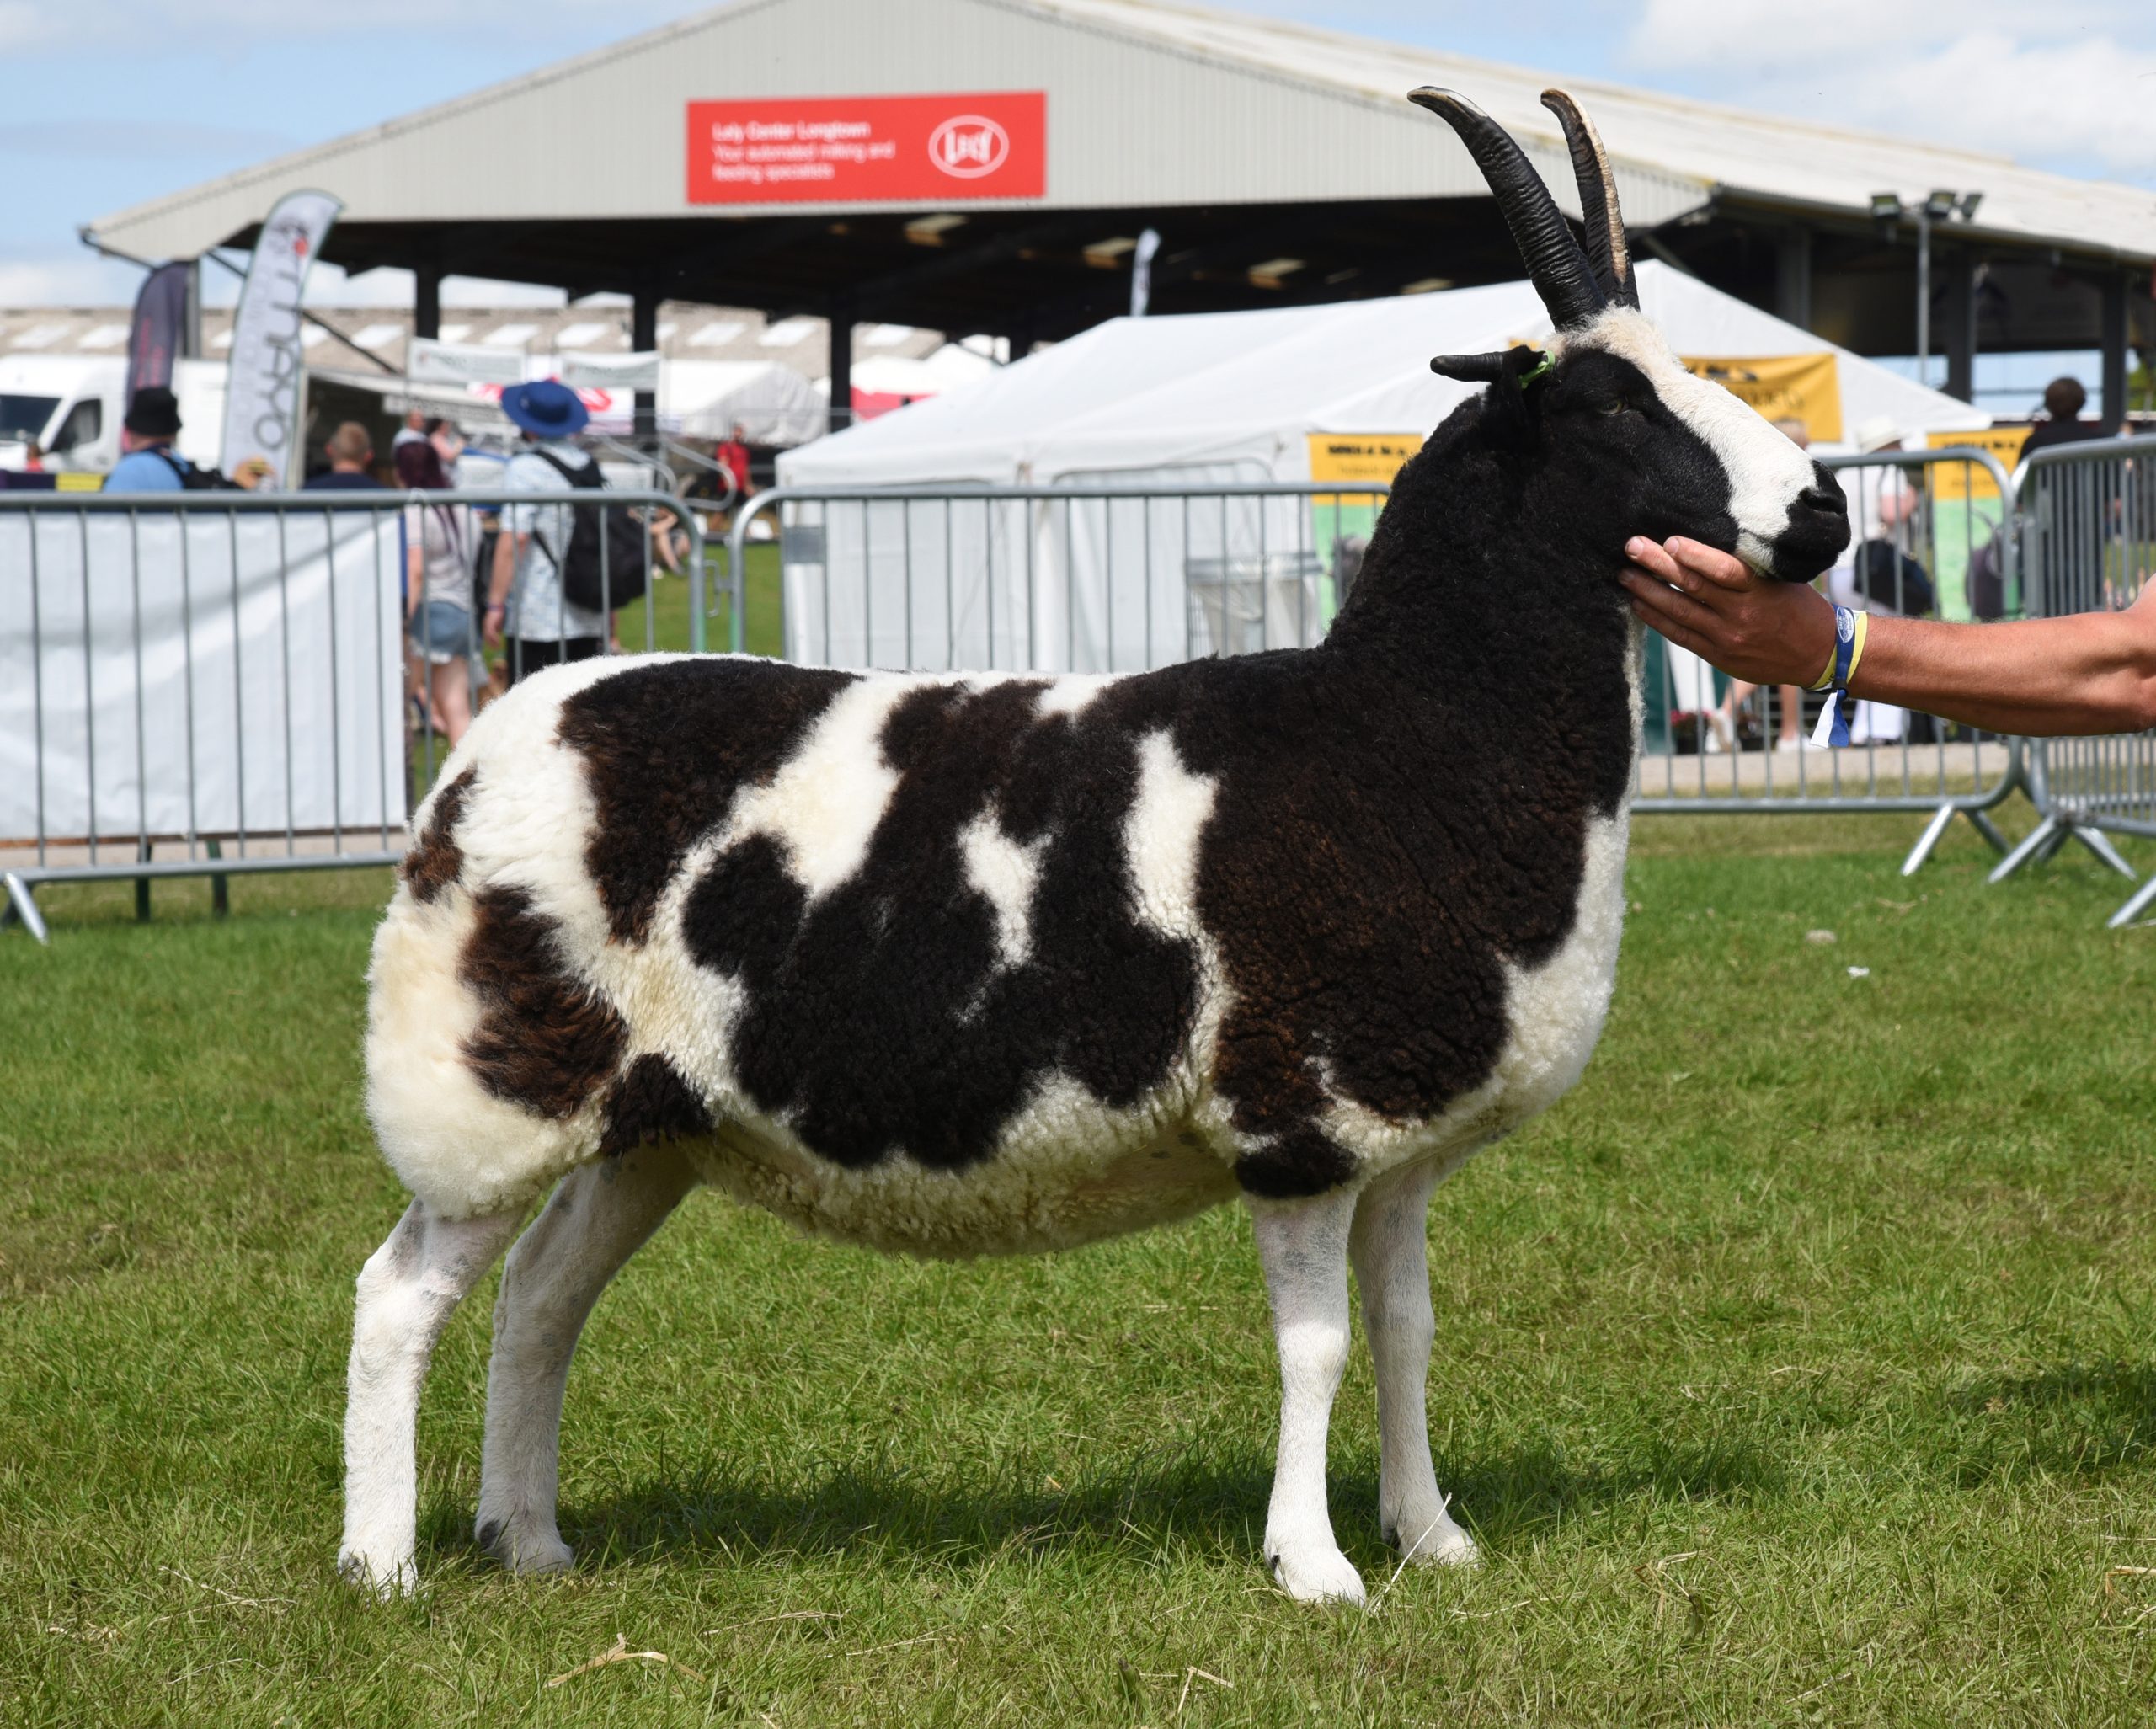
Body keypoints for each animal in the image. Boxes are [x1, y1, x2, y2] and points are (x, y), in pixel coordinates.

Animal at [340, 91, 1854, 1604]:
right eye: (1611, 402)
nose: (1826, 512)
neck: (1408, 724)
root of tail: (488, 744)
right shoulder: (1297, 1114)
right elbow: (1319, 1348)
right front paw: (1315, 1563)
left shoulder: (1397, 1141)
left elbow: (1409, 1328)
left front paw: (1432, 1535)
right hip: (487, 1085)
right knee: (399, 1296)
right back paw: (384, 1565)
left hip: (650, 1120)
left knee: (540, 1296)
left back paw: (530, 1540)